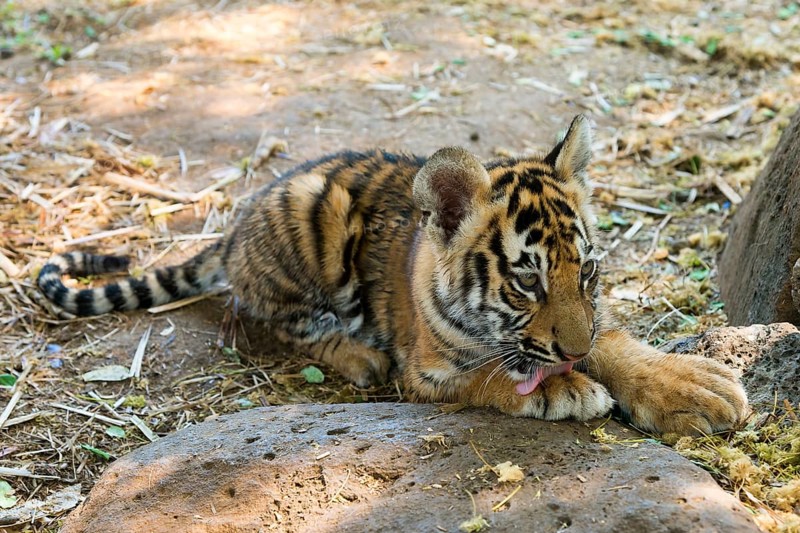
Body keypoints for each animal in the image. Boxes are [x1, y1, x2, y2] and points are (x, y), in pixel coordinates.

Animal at [37, 115, 748, 435]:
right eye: (527, 282)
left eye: (590, 270)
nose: (573, 352)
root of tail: (235, 226)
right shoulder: (428, 372)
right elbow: (491, 379)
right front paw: (566, 390)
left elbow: (617, 341)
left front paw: (694, 385)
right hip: (309, 229)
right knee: (276, 323)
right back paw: (356, 356)